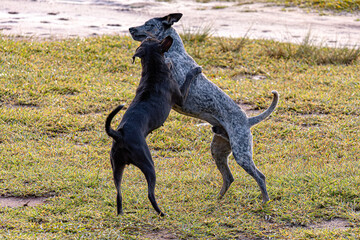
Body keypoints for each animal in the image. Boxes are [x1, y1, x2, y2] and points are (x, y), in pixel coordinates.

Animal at [105, 36, 202, 217]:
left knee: (118, 193)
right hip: (148, 164)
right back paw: (162, 213)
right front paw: (194, 70)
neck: (153, 69)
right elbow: (187, 78)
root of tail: (119, 134)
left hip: (116, 166)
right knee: (150, 194)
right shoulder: (181, 97)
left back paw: (121, 213)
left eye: (148, 40)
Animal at [129, 14, 278, 203]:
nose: (130, 29)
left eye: (149, 24)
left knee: (260, 177)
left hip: (241, 154)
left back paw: (264, 202)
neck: (174, 52)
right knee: (229, 177)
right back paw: (218, 199)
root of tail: (248, 120)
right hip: (218, 151)